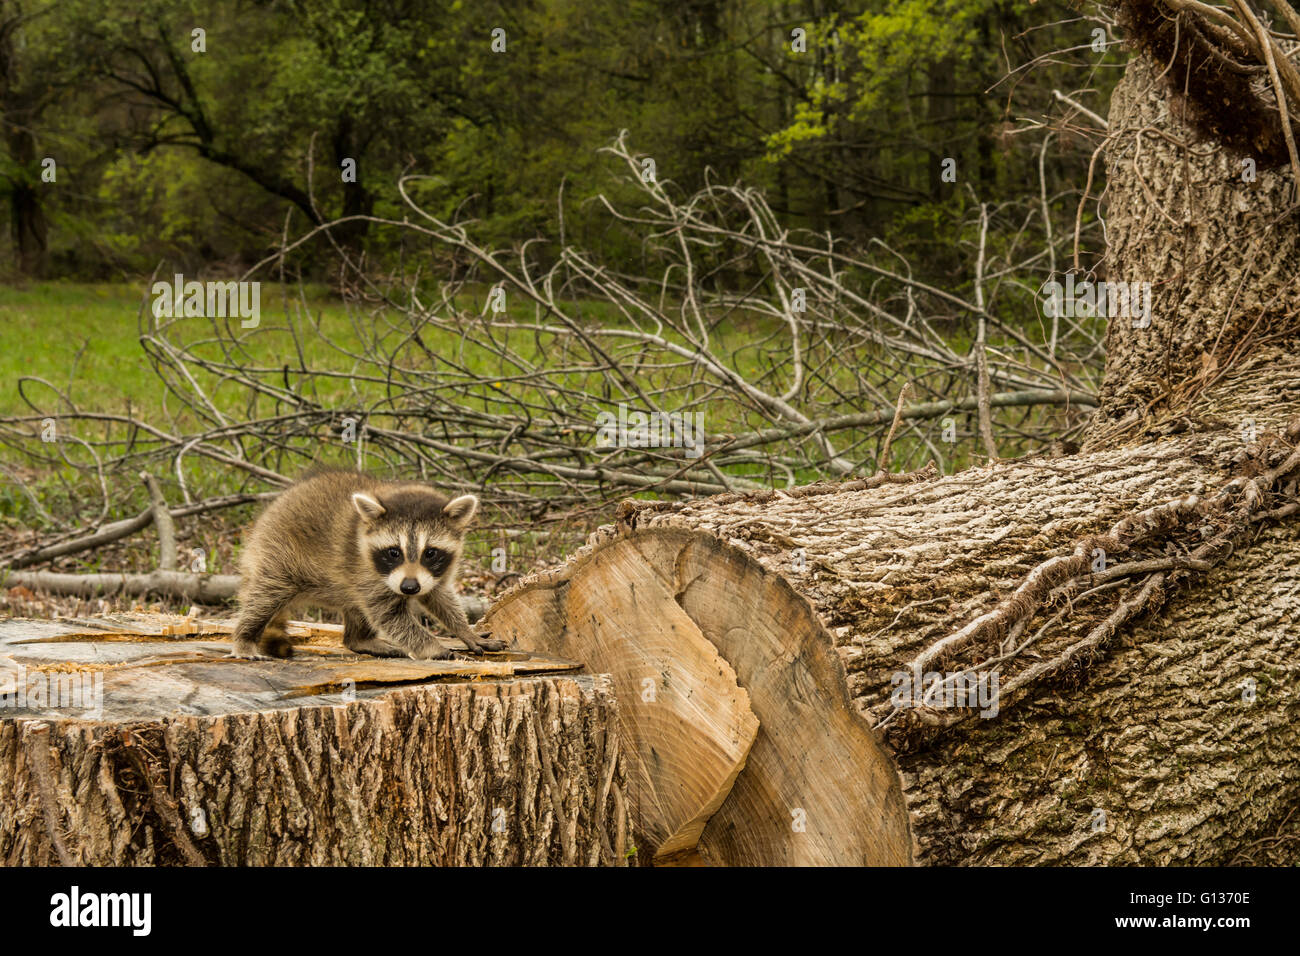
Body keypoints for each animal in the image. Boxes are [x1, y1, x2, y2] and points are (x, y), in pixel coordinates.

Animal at [230, 470, 505, 660]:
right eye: (394, 552)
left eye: (430, 553)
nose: (409, 588)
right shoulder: (365, 571)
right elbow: (390, 616)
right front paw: (433, 647)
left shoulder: (433, 574)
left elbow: (440, 598)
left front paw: (464, 630)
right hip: (278, 554)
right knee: (265, 597)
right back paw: (245, 637)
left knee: (355, 609)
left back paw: (360, 640)